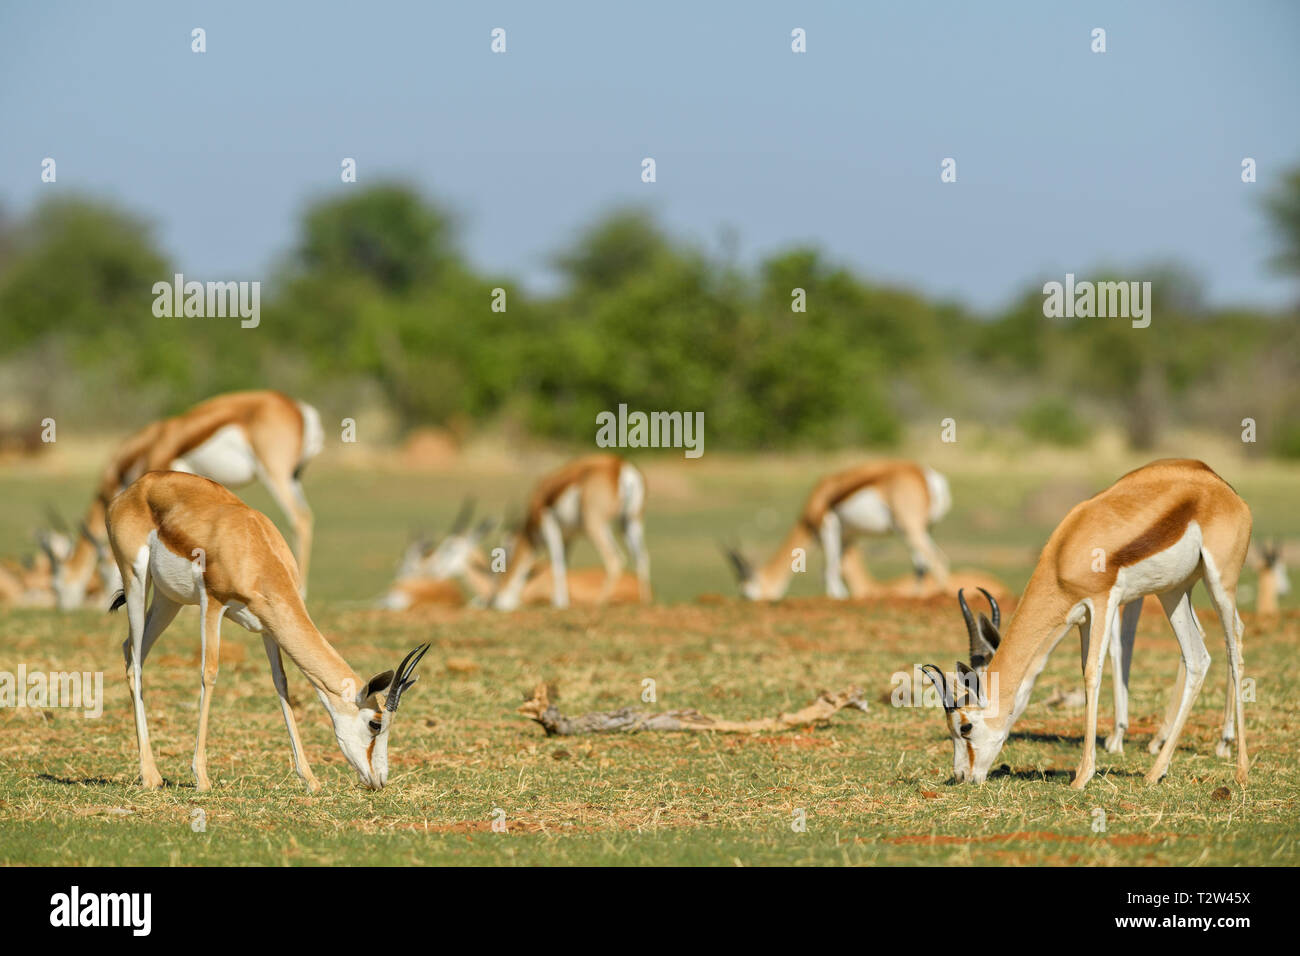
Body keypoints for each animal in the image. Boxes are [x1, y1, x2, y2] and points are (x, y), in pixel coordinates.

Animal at [48, 387, 322, 606]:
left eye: (58, 585)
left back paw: (301, 592)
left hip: (275, 474)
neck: (150, 443)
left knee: (299, 517)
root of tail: (299, 410)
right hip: (294, 477)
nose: (65, 609)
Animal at [109, 470, 428, 790]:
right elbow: (209, 673)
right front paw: (201, 778)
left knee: (129, 649)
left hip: (168, 599)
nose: (380, 780)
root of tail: (138, 486)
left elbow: (281, 682)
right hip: (136, 579)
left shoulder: (267, 627)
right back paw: (150, 775)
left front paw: (310, 779)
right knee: (135, 662)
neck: (255, 552)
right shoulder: (212, 603)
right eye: (376, 723)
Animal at [488, 457, 650, 613]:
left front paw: (559, 602)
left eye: (506, 550)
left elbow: (557, 562)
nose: (496, 600)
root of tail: (619, 467)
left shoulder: (549, 524)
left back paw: (599, 602)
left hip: (595, 525)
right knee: (642, 558)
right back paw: (644, 603)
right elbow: (565, 564)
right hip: (630, 523)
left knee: (615, 559)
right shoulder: (568, 536)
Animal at [728, 463, 951, 598]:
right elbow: (833, 571)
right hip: (923, 529)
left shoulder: (828, 528)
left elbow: (830, 573)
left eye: (746, 595)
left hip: (910, 529)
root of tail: (930, 478)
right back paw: (918, 597)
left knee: (937, 558)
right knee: (921, 564)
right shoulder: (846, 537)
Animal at [920, 460, 1253, 790]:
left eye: (965, 727)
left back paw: (1239, 768)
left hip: (1220, 583)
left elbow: (1094, 672)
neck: (1064, 554)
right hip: (1172, 591)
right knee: (1199, 657)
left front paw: (1083, 775)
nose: (961, 776)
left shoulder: (1104, 601)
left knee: (1234, 645)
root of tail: (1223, 488)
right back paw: (1156, 770)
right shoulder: (1082, 618)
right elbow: (1086, 669)